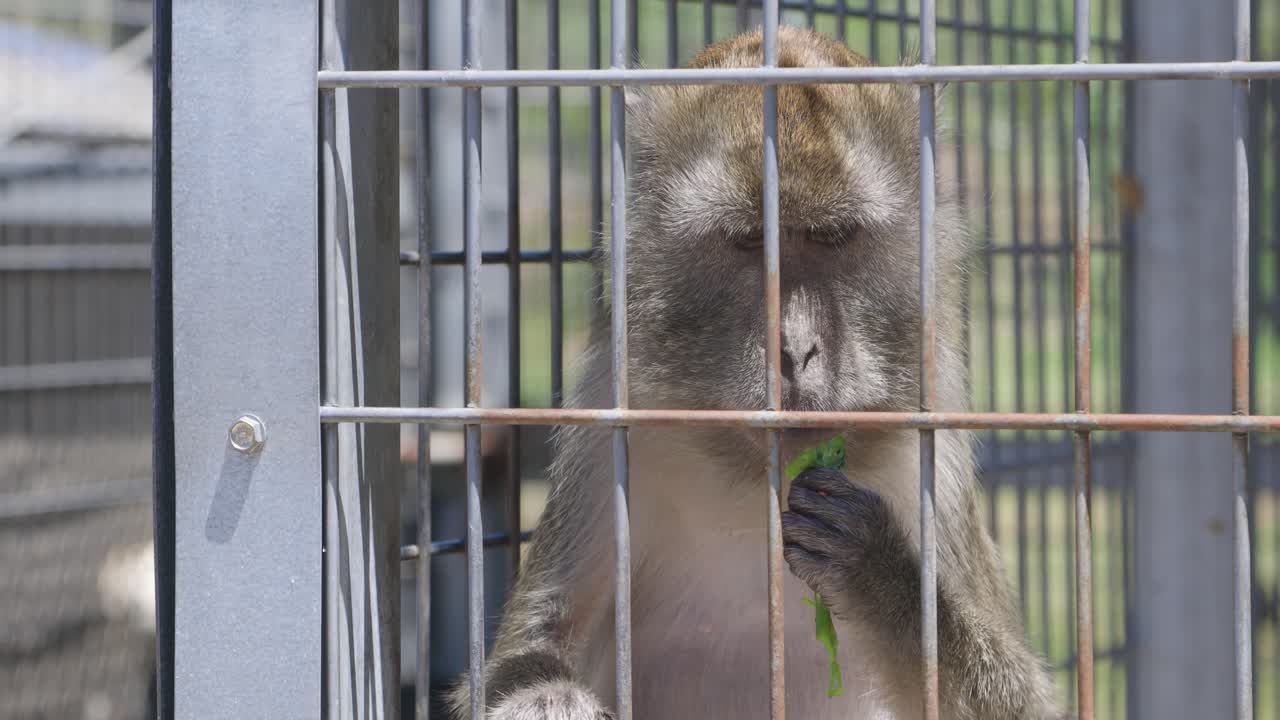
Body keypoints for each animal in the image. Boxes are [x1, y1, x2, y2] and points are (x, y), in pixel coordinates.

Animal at [449, 25, 1064, 720]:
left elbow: (1024, 703)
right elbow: (521, 654)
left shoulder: (935, 457)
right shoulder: (605, 440)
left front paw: (881, 572)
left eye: (832, 237)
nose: (794, 349)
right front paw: (547, 700)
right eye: (749, 241)